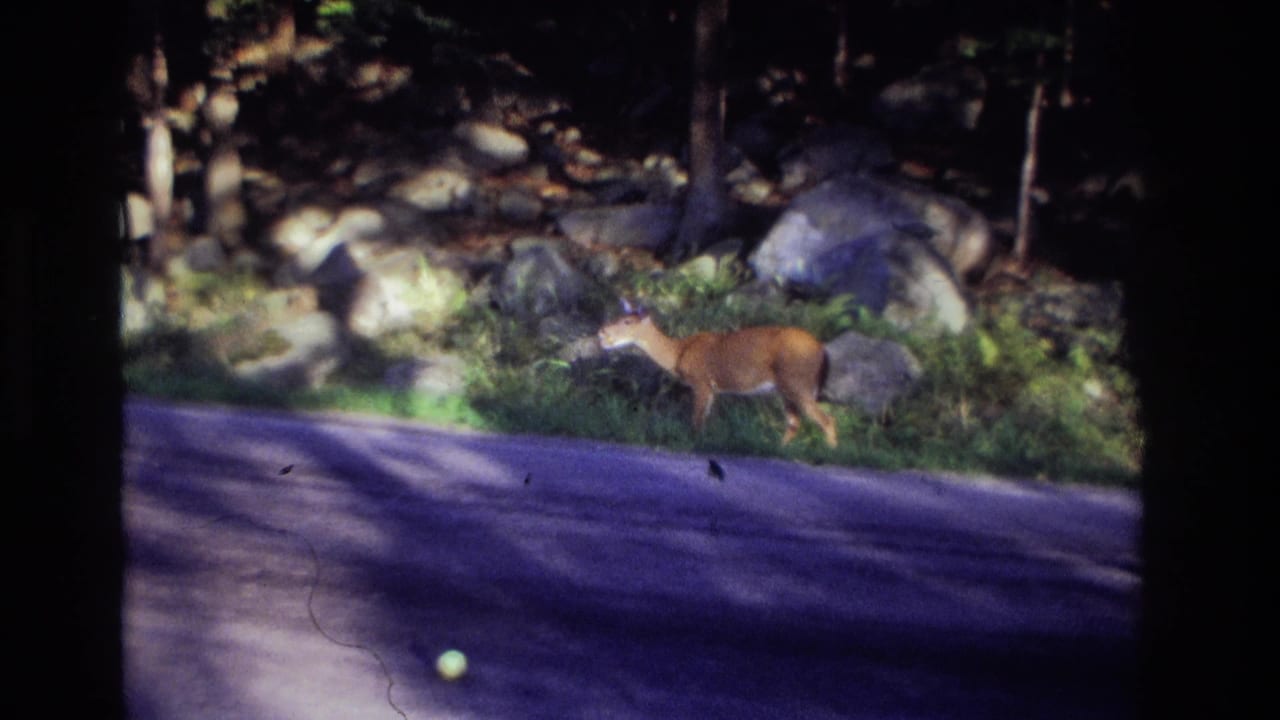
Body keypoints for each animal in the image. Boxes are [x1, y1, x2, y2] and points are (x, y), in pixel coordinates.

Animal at [597, 300, 838, 447]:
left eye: (627, 321)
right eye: (618, 316)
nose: (601, 332)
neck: (678, 353)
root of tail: (822, 350)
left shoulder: (701, 381)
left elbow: (696, 420)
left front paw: (693, 443)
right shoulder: (712, 389)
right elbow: (703, 420)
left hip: (798, 382)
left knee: (826, 419)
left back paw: (830, 451)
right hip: (786, 389)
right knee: (794, 423)